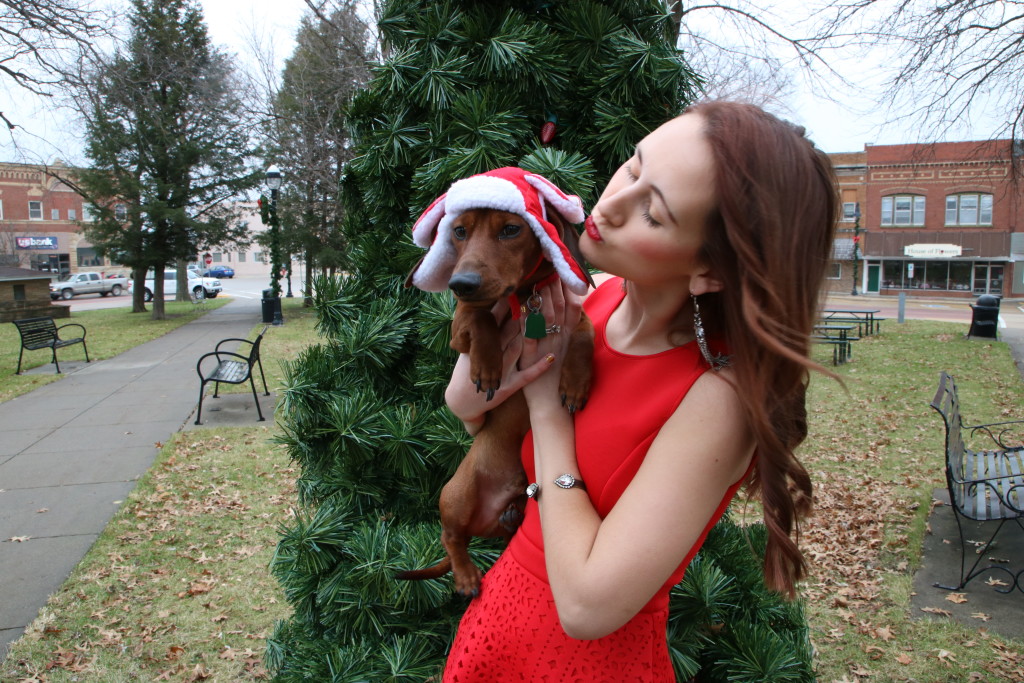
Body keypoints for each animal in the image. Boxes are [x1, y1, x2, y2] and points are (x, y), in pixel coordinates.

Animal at [397, 208, 598, 598]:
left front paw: (576, 383)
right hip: (457, 493)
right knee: (451, 537)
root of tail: (485, 519)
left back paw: (513, 512)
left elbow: (585, 329)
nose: (461, 283)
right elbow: (482, 315)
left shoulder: (572, 313)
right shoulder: (460, 328)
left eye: (511, 229)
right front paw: (488, 367)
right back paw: (466, 576)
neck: (524, 297)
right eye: (459, 231)